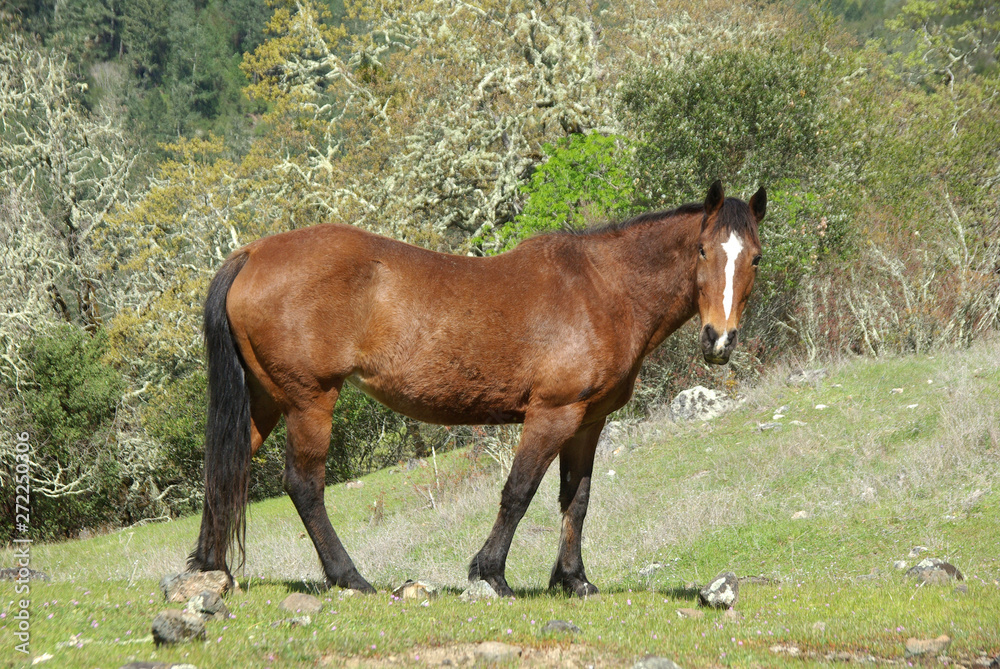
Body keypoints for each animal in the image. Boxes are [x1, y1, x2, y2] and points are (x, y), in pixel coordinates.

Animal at [187, 180, 765, 597]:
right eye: (701, 250)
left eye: (755, 257)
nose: (719, 340)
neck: (605, 289)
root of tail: (252, 253)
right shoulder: (552, 414)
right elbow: (518, 492)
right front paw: (491, 573)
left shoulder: (589, 420)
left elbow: (575, 501)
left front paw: (574, 580)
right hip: (310, 402)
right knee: (304, 486)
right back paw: (349, 577)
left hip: (264, 403)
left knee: (225, 471)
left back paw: (209, 570)